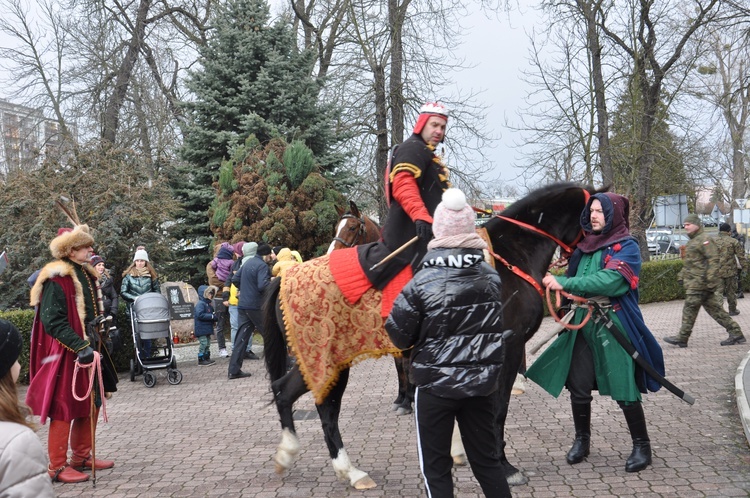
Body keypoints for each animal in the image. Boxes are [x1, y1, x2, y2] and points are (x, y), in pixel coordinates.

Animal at [262, 181, 596, 488]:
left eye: (353, 227)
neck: (509, 257)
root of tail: (285, 277)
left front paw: (459, 450)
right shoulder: (508, 347)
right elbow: (497, 409)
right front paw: (503, 465)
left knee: (285, 392)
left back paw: (292, 455)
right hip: (325, 358)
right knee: (321, 407)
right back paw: (348, 470)